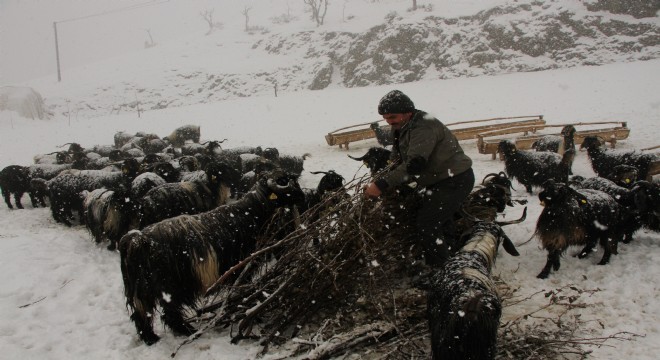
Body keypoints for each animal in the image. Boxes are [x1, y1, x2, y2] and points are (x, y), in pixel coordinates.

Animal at [118, 170, 304, 344]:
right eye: (285, 183)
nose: (302, 197)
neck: (252, 213)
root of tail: (136, 240)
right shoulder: (240, 268)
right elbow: (243, 291)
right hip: (168, 288)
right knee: (168, 313)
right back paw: (186, 331)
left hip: (143, 290)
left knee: (142, 315)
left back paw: (151, 338)